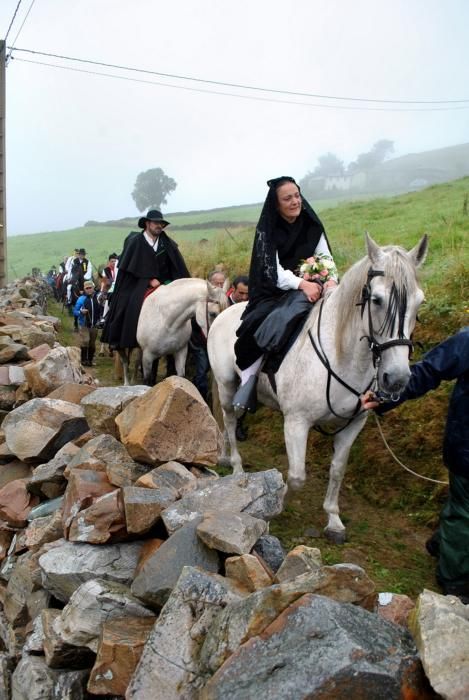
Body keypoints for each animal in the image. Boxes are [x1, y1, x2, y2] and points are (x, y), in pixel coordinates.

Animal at [207, 234, 426, 540]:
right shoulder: (296, 422)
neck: (341, 355)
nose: (396, 379)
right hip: (227, 385)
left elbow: (338, 469)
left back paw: (227, 457)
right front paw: (274, 510)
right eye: (377, 300)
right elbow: (297, 477)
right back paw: (237, 467)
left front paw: (333, 519)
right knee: (228, 419)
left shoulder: (353, 424)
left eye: (419, 303)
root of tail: (225, 312)